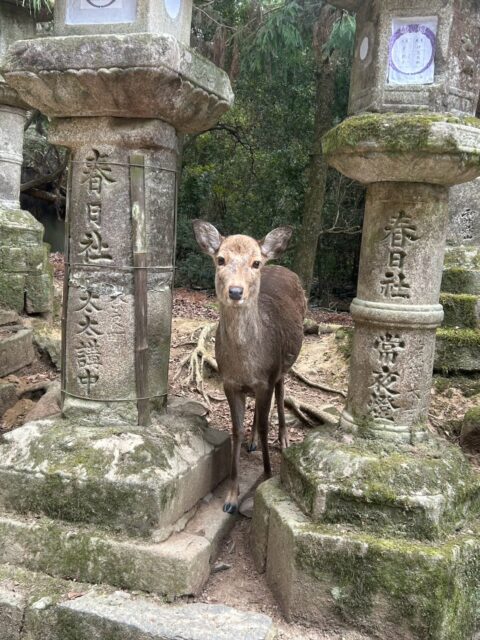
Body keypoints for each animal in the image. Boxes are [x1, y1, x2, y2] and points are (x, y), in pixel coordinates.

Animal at [193, 220, 306, 514]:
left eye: (255, 263)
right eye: (220, 259)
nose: (235, 291)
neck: (246, 364)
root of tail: (282, 266)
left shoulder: (267, 376)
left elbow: (266, 424)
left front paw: (265, 476)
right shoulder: (230, 383)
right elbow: (235, 431)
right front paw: (231, 498)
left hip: (285, 363)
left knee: (282, 391)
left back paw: (284, 438)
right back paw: (253, 441)